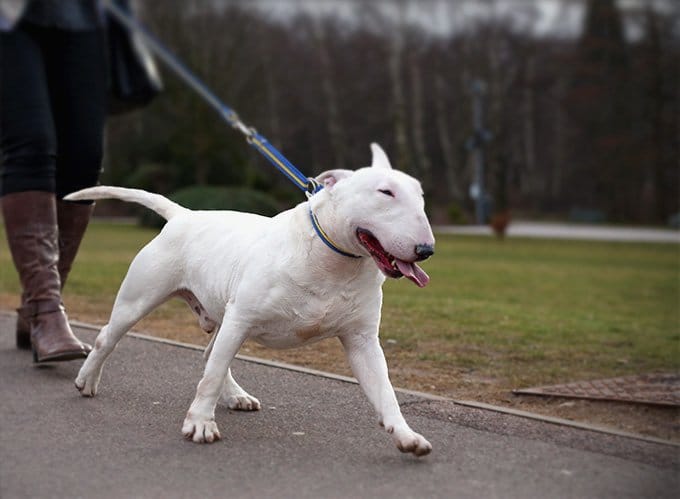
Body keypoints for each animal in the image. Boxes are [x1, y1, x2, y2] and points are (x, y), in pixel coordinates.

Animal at [67, 144, 436, 458]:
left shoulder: (362, 340)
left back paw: (237, 396)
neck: (332, 261)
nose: (426, 250)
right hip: (141, 299)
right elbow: (212, 375)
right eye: (385, 192)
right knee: (109, 338)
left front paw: (407, 436)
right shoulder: (241, 317)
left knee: (210, 354)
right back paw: (87, 380)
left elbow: (385, 391)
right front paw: (200, 424)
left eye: (421, 196)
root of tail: (183, 215)